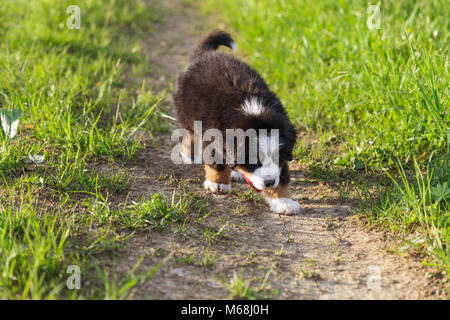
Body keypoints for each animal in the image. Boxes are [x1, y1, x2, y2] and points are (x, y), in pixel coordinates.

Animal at [174, 30, 300, 215]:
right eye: (254, 159)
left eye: (278, 156)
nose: (269, 182)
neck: (252, 109)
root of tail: (205, 53)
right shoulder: (214, 136)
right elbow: (217, 163)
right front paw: (218, 183)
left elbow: (282, 174)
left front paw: (283, 201)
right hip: (185, 112)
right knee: (189, 135)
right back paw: (191, 155)